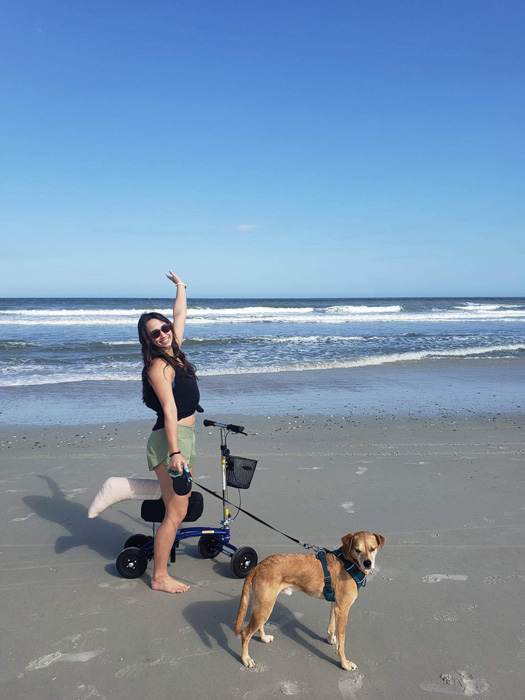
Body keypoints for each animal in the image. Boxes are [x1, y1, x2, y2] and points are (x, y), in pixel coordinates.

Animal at [235, 532, 382, 672]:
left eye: (372, 548)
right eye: (357, 550)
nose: (368, 563)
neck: (348, 562)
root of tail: (258, 566)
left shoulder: (335, 605)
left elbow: (331, 625)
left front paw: (330, 639)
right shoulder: (343, 610)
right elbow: (342, 643)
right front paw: (344, 663)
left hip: (263, 605)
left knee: (258, 626)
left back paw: (264, 639)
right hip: (264, 608)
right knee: (245, 634)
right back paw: (246, 659)